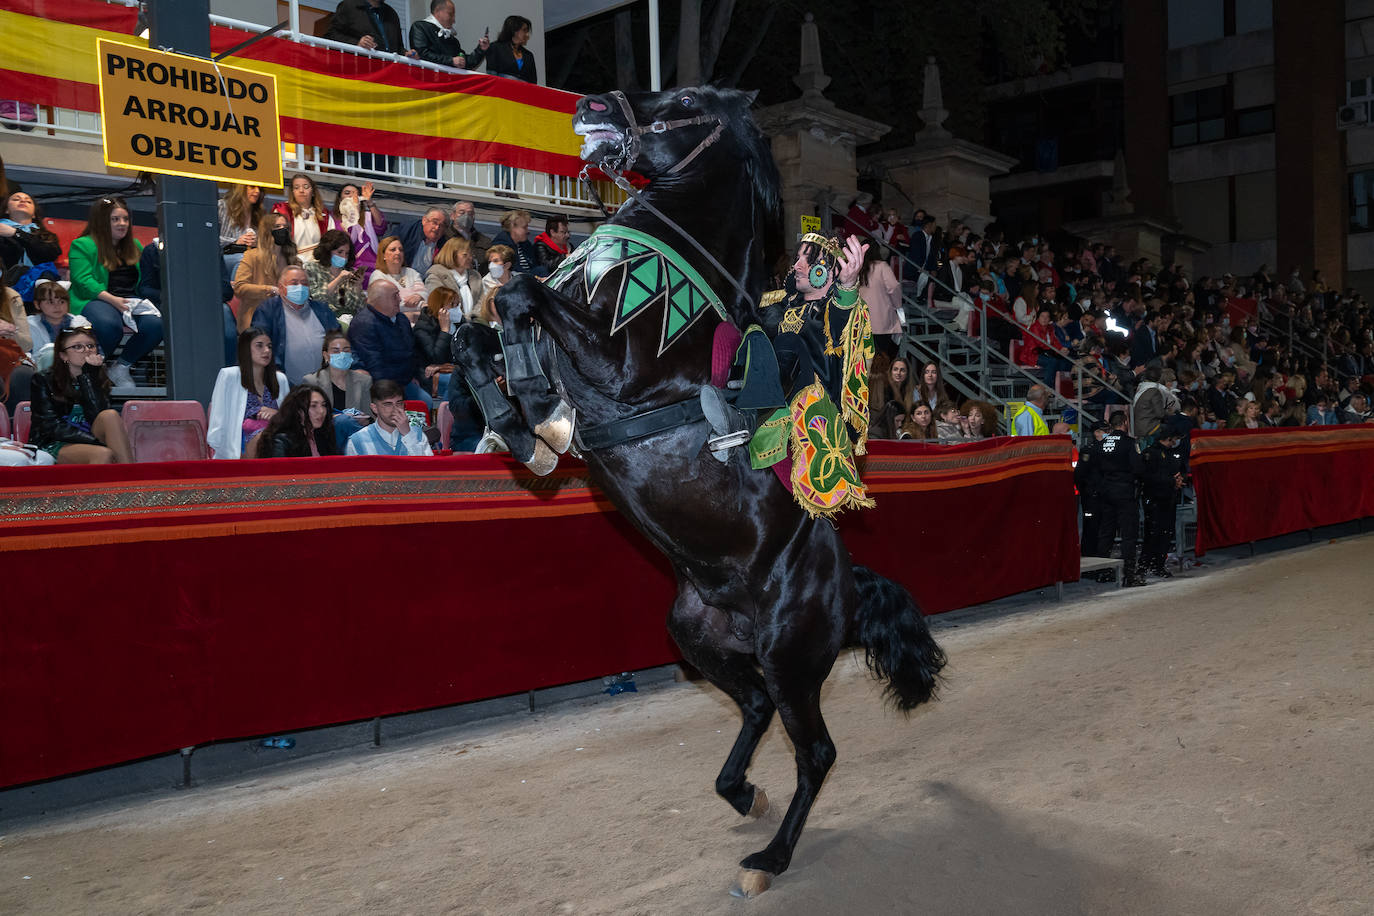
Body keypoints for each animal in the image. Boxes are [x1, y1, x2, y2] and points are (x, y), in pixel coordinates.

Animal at [450, 85, 945, 895]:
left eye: (681, 99)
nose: (590, 105)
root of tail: (846, 584)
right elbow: (474, 332)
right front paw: (520, 427)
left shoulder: (619, 363)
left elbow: (519, 294)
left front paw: (535, 408)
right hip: (698, 638)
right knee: (755, 707)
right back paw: (742, 793)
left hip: (789, 656)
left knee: (816, 751)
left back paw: (769, 860)